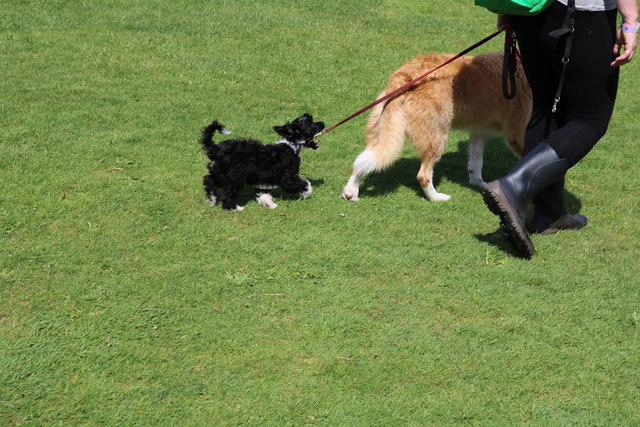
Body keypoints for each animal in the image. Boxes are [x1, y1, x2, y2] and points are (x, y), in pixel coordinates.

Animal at [342, 51, 532, 203]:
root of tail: (403, 76)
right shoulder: (517, 134)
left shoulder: (478, 131)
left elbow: (476, 162)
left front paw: (479, 184)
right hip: (436, 137)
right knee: (423, 176)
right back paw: (436, 198)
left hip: (379, 133)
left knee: (360, 163)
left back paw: (350, 193)